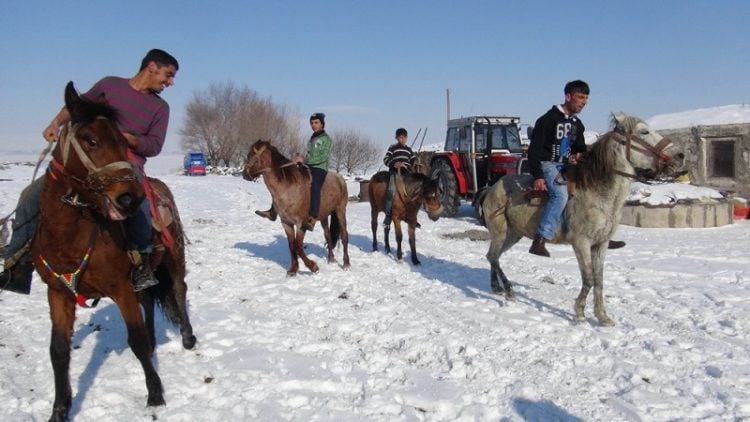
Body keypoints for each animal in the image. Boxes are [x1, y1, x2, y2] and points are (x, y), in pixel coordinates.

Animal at [30, 82, 198, 422]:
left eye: (122, 141)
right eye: (90, 139)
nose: (130, 198)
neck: (70, 236)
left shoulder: (120, 288)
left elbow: (136, 340)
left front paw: (155, 395)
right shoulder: (58, 292)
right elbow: (58, 351)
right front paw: (60, 409)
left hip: (174, 260)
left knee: (178, 290)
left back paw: (187, 338)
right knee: (148, 299)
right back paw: (156, 342)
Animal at [245, 140, 354, 276]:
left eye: (250, 155)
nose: (244, 174)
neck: (288, 187)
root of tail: (340, 179)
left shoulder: (301, 224)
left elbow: (298, 246)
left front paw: (313, 267)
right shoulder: (286, 223)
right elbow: (292, 245)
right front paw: (293, 269)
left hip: (340, 210)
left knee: (344, 236)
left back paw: (346, 264)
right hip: (324, 215)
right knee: (328, 235)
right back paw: (331, 258)